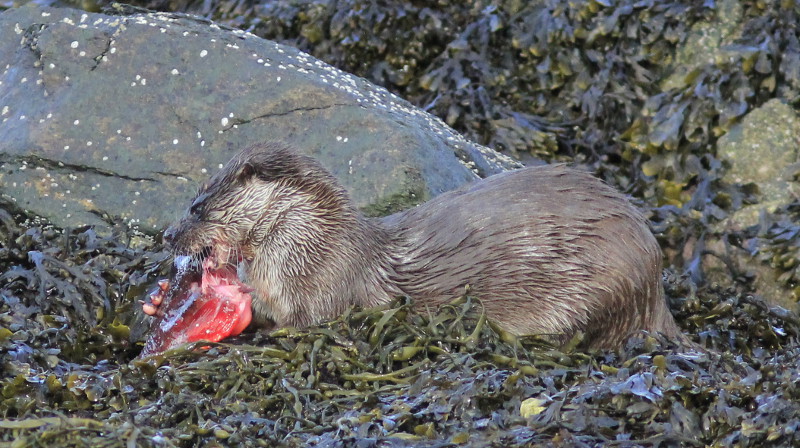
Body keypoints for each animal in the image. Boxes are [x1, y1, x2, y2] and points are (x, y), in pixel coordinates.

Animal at [152, 142, 688, 348]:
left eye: (197, 207)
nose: (168, 235)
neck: (317, 249)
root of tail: (654, 283)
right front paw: (162, 299)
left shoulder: (321, 295)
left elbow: (284, 319)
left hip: (600, 287)